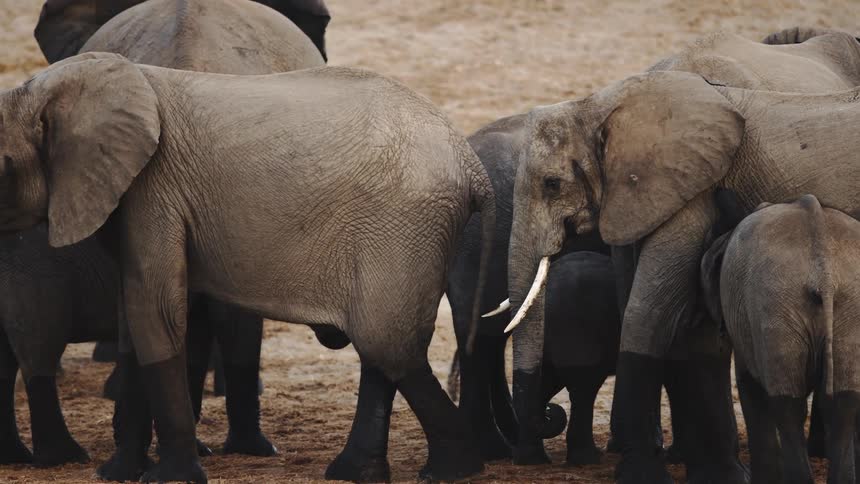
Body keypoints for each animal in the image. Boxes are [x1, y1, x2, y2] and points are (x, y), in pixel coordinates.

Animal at [0, 52, 495, 483]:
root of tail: (473, 167)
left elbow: (154, 312)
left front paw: (169, 478)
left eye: (2, 167)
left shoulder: (152, 189)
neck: (41, 89)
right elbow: (135, 321)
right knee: (381, 346)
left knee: (387, 344)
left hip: (402, 227)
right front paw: (117, 475)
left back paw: (451, 470)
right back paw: (360, 473)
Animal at [701, 194, 860, 484]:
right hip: (848, 306)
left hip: (774, 305)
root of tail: (824, 271)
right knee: (843, 405)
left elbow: (749, 385)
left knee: (787, 407)